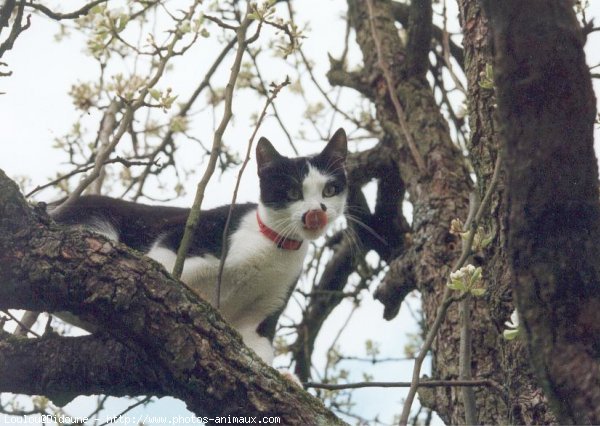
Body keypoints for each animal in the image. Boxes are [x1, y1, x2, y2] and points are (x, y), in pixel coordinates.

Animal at [45, 128, 346, 364]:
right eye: (293, 192)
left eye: (330, 190)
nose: (316, 212)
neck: (273, 247)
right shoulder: (187, 236)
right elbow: (161, 271)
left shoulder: (264, 310)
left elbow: (258, 350)